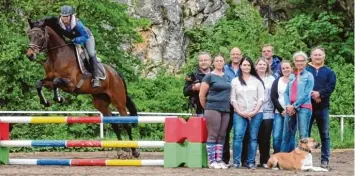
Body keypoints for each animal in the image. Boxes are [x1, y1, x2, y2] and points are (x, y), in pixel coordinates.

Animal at [25, 18, 140, 157]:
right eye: (29, 35)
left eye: (40, 36)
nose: (30, 55)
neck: (57, 55)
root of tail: (116, 73)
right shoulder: (48, 80)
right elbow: (39, 83)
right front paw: (46, 102)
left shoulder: (71, 84)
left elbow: (57, 81)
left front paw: (59, 98)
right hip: (100, 102)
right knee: (113, 122)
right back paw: (121, 150)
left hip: (118, 100)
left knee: (126, 123)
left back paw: (133, 151)